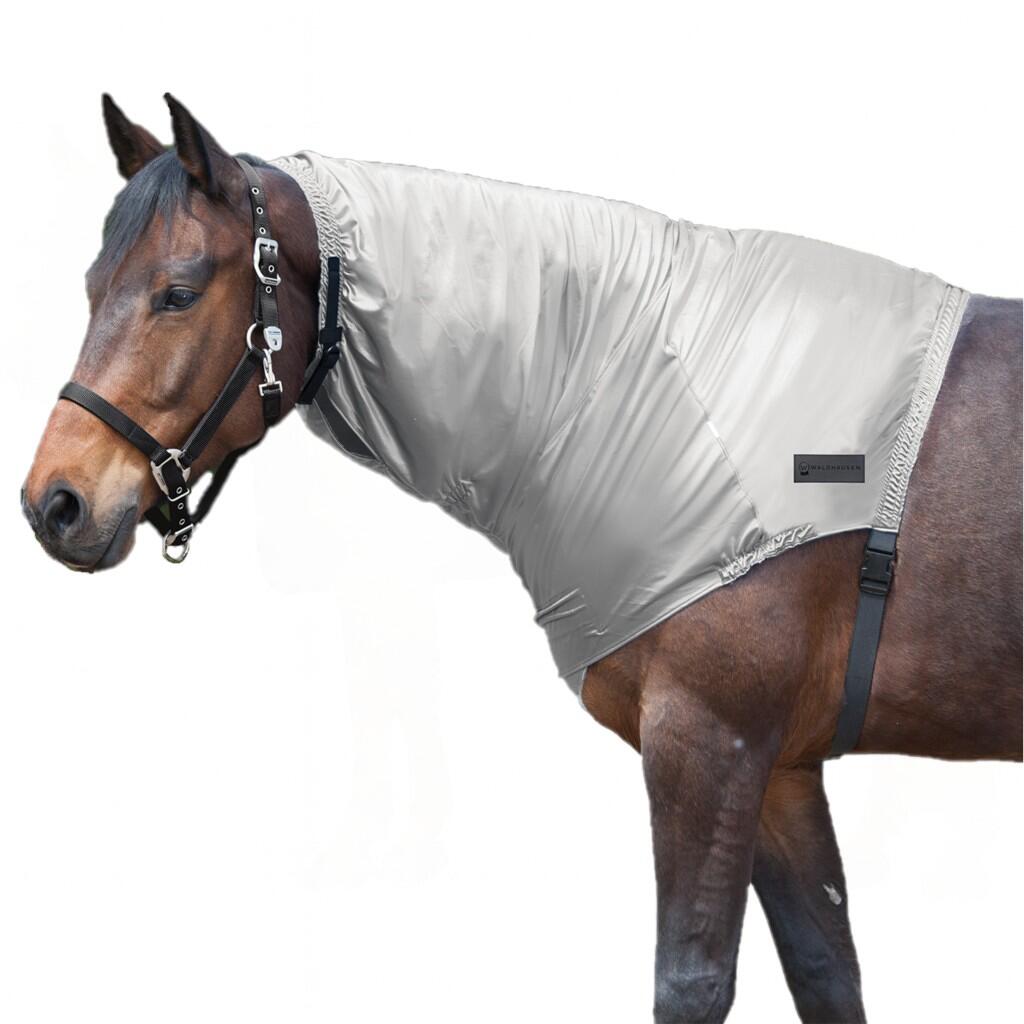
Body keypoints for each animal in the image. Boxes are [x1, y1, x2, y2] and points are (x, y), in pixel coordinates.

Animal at [21, 94, 1022, 1024]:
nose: (54, 503)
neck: (658, 383)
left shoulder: (711, 743)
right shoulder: (781, 768)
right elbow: (826, 972)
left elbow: (692, 983)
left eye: (179, 291)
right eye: (92, 283)